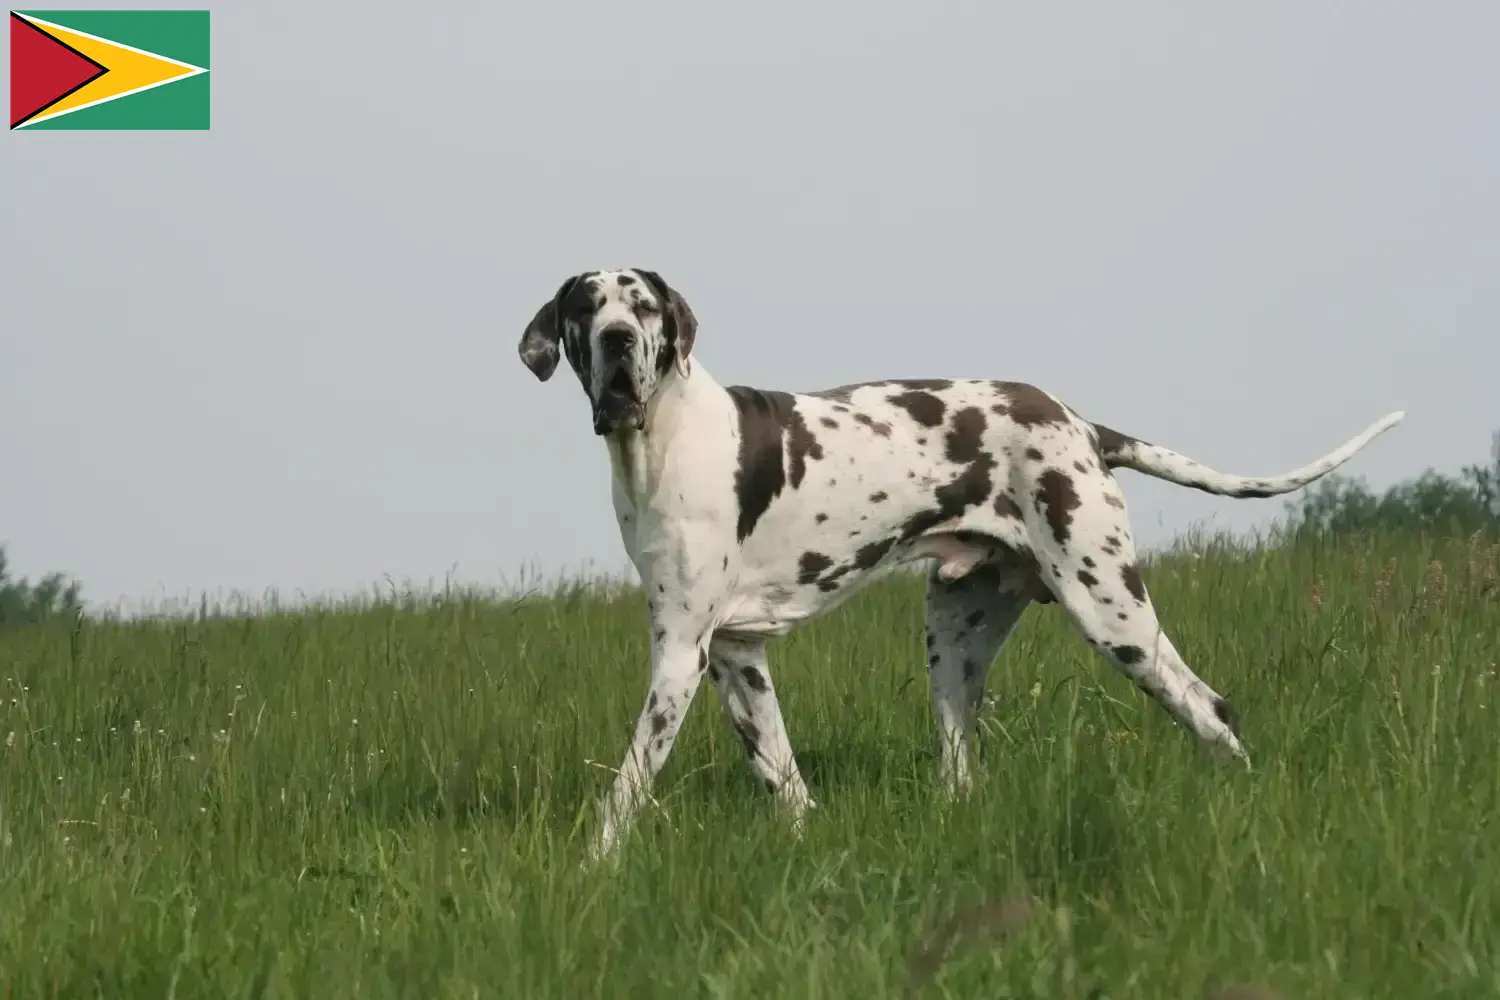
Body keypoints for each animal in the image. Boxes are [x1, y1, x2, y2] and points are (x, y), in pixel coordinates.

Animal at [519, 268, 1404, 863]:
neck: (666, 438)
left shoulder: (679, 656)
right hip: (954, 640)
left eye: (641, 305)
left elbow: (628, 783)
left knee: (1211, 708)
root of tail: (1080, 422)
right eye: (584, 307)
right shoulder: (738, 657)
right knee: (962, 765)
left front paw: (593, 864)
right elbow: (783, 776)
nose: (617, 341)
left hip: (1112, 613)